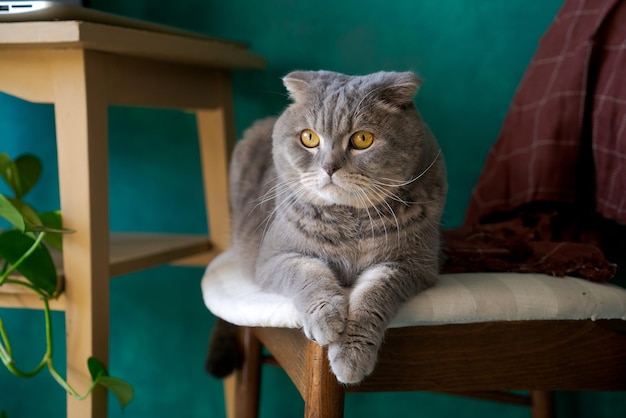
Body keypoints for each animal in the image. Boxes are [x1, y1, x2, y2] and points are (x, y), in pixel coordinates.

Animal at [210, 69, 444, 386]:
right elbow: (308, 274)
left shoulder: (411, 266)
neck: (350, 220)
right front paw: (327, 319)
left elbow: (373, 295)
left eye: (362, 139)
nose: (329, 167)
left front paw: (351, 356)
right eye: (309, 137)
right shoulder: (274, 258)